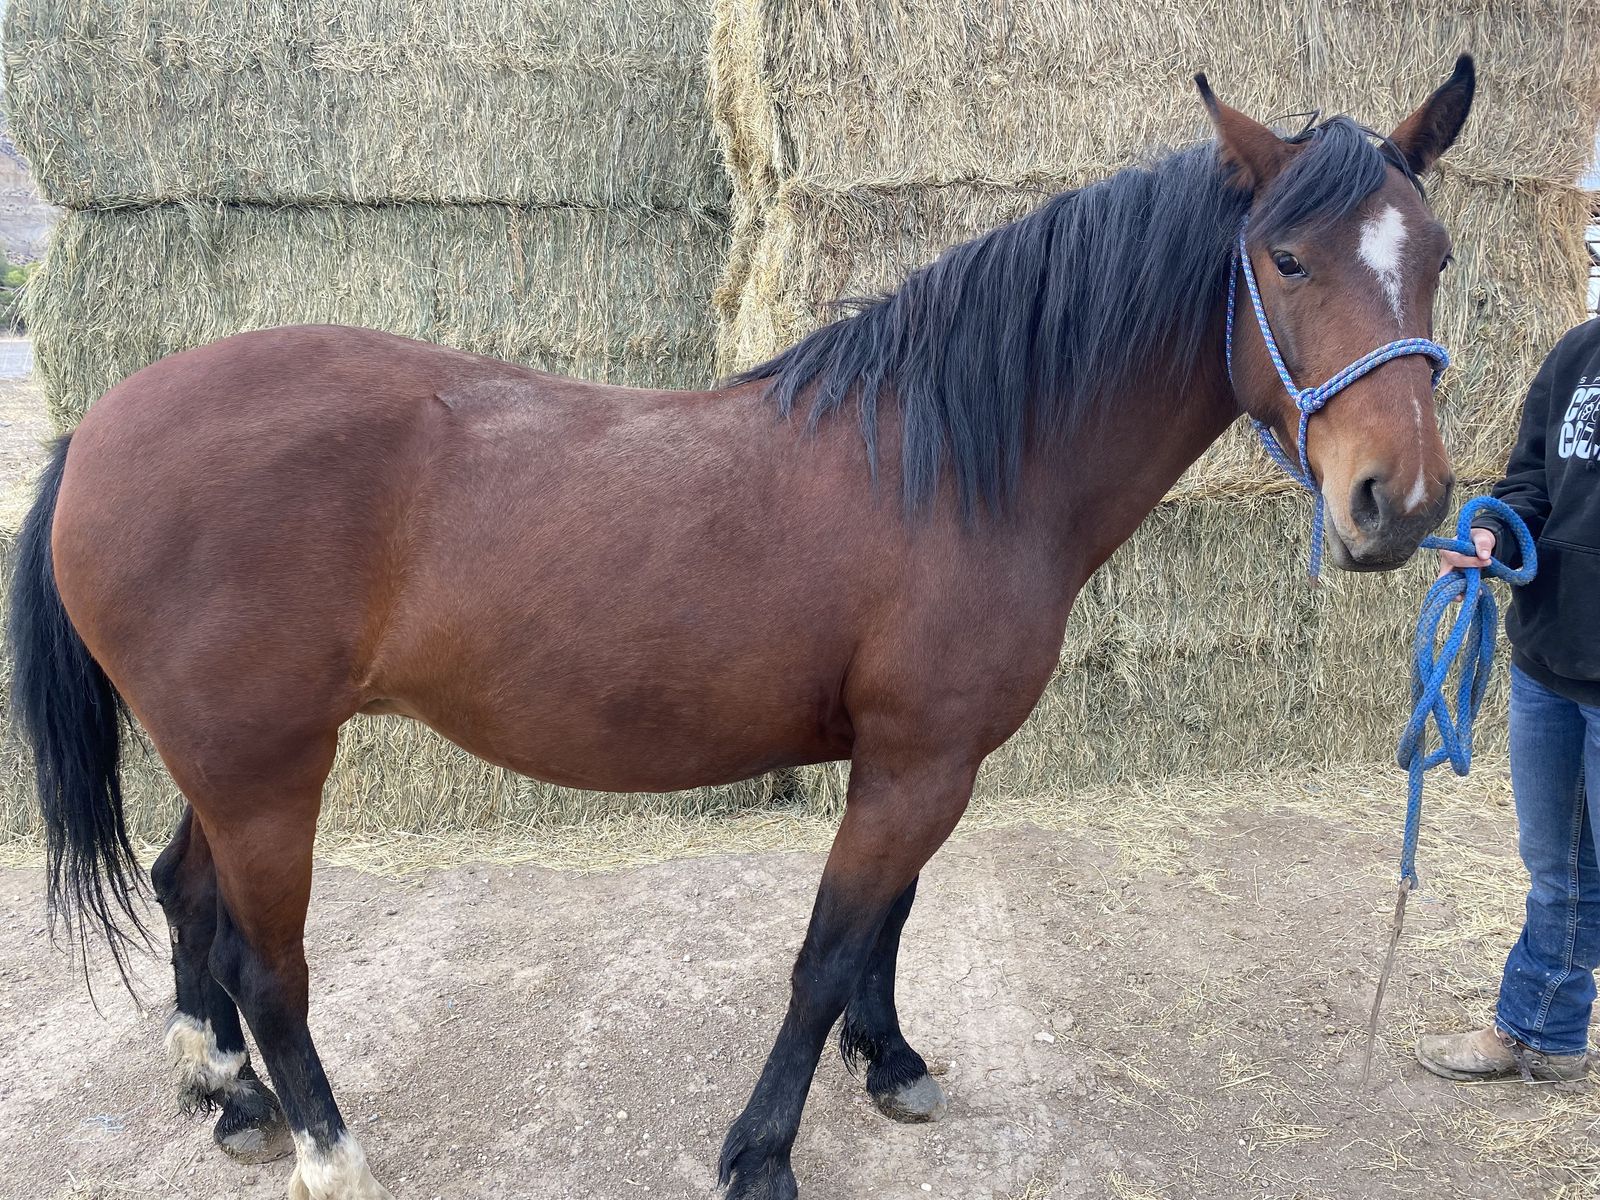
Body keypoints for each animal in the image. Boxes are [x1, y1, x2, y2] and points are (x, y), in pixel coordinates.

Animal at [8, 59, 1475, 1200]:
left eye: (1439, 259)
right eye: (1286, 258)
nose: (1395, 503)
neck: (956, 462)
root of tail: (102, 428)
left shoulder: (918, 763)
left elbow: (887, 926)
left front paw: (893, 1065)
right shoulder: (916, 762)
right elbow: (826, 952)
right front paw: (763, 1150)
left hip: (232, 760)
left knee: (187, 895)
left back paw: (228, 1093)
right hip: (265, 770)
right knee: (265, 959)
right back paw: (326, 1146)